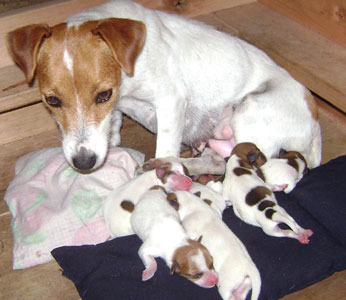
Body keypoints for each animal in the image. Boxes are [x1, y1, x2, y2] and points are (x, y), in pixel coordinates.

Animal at [6, 0, 322, 172]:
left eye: (103, 94)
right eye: (52, 100)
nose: (83, 163)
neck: (128, 71)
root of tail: (315, 120)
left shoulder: (170, 101)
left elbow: (164, 146)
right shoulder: (117, 110)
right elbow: (114, 128)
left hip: (251, 110)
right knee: (218, 161)